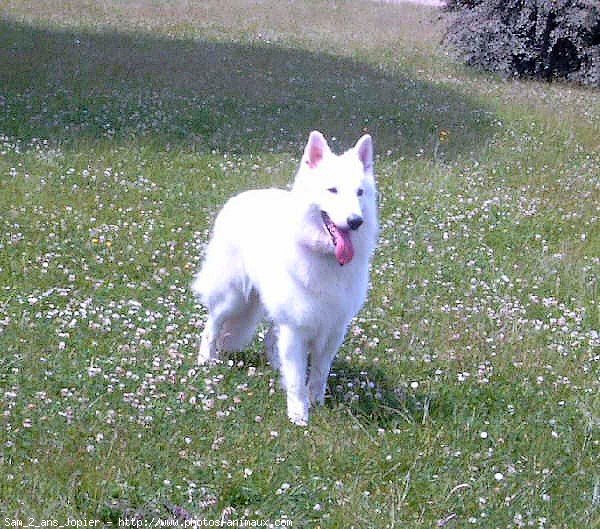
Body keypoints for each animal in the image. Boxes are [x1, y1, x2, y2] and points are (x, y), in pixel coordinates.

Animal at [192, 132, 378, 424]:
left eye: (360, 193)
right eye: (332, 190)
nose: (355, 221)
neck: (324, 257)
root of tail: (242, 196)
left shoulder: (333, 329)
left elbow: (319, 374)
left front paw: (316, 402)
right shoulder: (296, 328)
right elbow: (296, 380)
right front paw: (299, 413)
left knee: (271, 339)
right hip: (233, 298)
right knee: (212, 325)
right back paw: (205, 359)